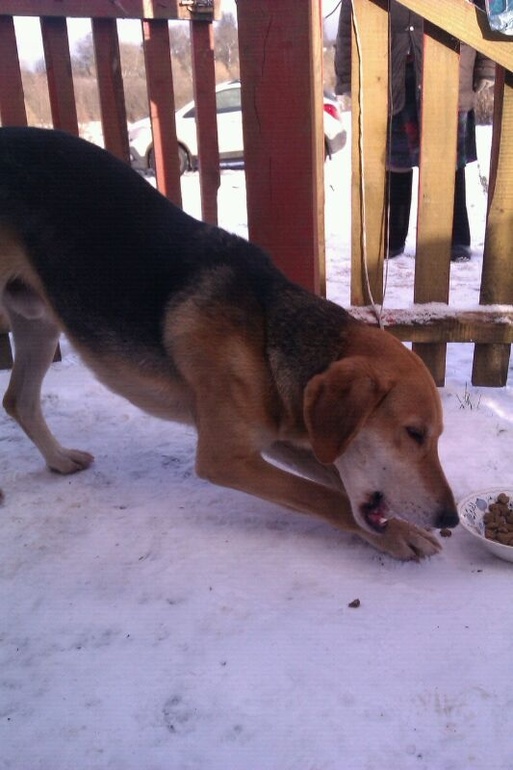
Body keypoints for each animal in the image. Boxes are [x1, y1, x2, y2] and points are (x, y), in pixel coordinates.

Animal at [0, 126, 456, 560]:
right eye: (414, 433)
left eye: (435, 436)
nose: (449, 517)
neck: (267, 341)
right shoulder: (226, 456)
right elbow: (326, 497)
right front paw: (400, 535)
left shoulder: (278, 434)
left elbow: (334, 477)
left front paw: (399, 527)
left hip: (38, 324)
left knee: (18, 400)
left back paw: (59, 460)